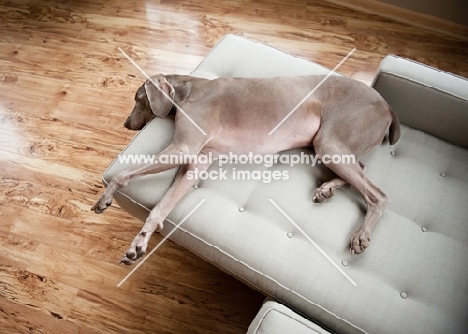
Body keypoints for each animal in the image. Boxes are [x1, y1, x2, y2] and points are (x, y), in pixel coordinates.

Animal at [92, 74, 402, 264]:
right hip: (333, 146)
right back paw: (326, 189)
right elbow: (159, 209)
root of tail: (387, 105)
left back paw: (361, 235)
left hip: (330, 141)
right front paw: (138, 245)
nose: (126, 125)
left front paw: (104, 198)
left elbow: (122, 174)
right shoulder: (196, 162)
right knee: (361, 167)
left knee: (379, 195)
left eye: (137, 98)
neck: (188, 89)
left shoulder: (183, 149)